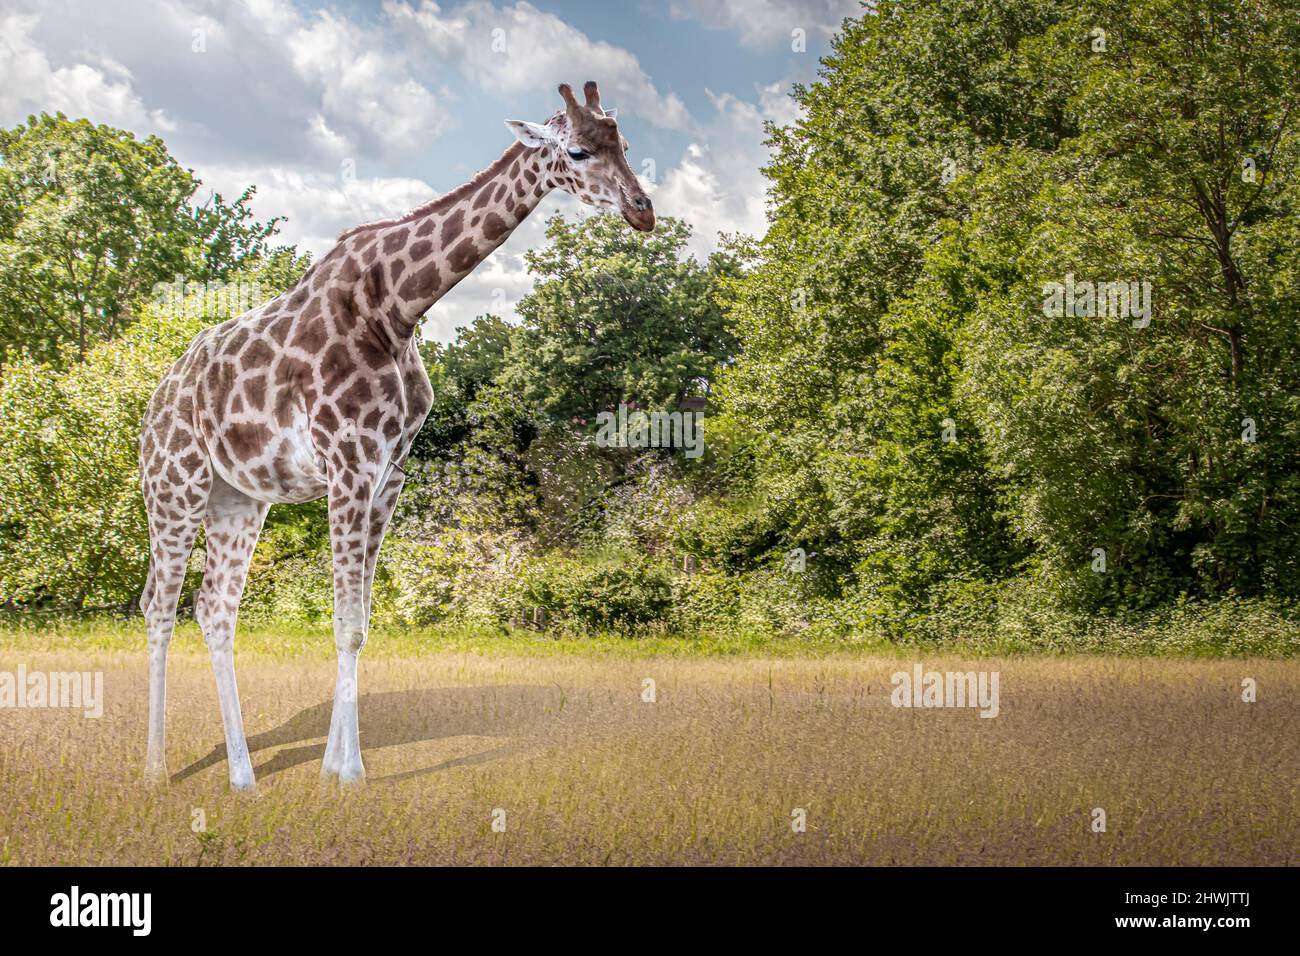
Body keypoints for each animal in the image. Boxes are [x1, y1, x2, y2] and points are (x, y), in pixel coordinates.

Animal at [138, 81, 654, 790]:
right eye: (576, 150)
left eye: (623, 142)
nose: (643, 210)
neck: (399, 306)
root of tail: (155, 401)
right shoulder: (347, 464)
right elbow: (341, 622)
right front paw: (351, 772)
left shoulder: (388, 475)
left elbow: (360, 623)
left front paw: (335, 765)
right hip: (176, 488)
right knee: (158, 607)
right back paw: (156, 769)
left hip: (238, 500)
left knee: (213, 609)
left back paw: (243, 776)